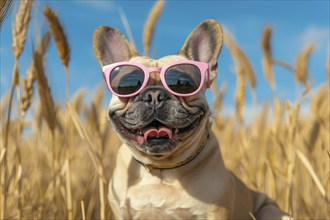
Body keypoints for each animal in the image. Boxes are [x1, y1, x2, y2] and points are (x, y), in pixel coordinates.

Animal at [91, 19, 290, 219]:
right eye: (128, 85)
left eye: (184, 84)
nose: (154, 95)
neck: (161, 170)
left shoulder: (215, 213)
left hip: (272, 210)